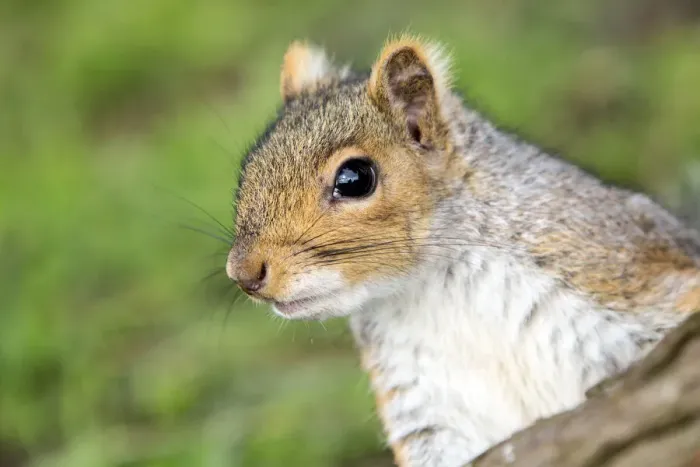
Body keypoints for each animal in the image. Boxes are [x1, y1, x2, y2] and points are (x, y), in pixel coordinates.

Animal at [224, 35, 700, 466]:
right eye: (248, 168)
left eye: (355, 178)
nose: (243, 273)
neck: (435, 283)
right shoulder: (424, 405)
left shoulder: (614, 265)